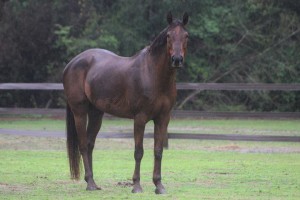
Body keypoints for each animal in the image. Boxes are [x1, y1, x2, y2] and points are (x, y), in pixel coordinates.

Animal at [62, 12, 190, 194]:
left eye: (186, 36)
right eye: (168, 36)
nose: (177, 59)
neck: (153, 75)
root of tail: (71, 64)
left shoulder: (163, 118)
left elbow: (158, 151)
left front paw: (159, 185)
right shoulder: (140, 118)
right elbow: (138, 151)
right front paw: (136, 185)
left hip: (96, 113)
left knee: (89, 143)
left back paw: (93, 181)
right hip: (79, 112)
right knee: (83, 146)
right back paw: (90, 184)